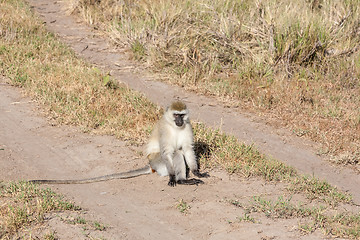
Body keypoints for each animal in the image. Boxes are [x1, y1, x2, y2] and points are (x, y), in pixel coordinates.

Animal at [29, 100, 208, 187]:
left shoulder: (188, 126)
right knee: (175, 153)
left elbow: (188, 148)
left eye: (182, 115)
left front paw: (196, 172)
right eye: (175, 115)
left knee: (180, 151)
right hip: (158, 161)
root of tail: (150, 165)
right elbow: (167, 152)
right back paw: (181, 180)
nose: (179, 121)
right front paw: (172, 177)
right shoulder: (165, 130)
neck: (174, 126)